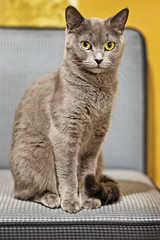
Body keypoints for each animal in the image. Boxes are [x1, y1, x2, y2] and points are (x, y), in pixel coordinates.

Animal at [9, 5, 129, 213]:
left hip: (99, 157)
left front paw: (88, 199)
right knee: (24, 193)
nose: (98, 59)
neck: (95, 91)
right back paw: (51, 197)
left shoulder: (96, 138)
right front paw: (72, 201)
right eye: (85, 45)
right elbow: (68, 173)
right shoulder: (65, 135)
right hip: (39, 145)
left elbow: (86, 172)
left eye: (109, 46)